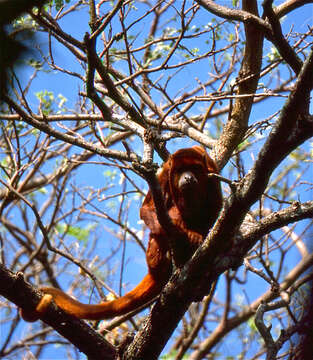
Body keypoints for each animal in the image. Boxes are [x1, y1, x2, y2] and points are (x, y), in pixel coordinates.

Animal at [20, 146, 222, 320]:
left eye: (194, 169)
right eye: (181, 170)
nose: (188, 177)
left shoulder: (212, 172)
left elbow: (216, 209)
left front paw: (199, 235)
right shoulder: (164, 174)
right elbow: (146, 208)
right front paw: (181, 231)